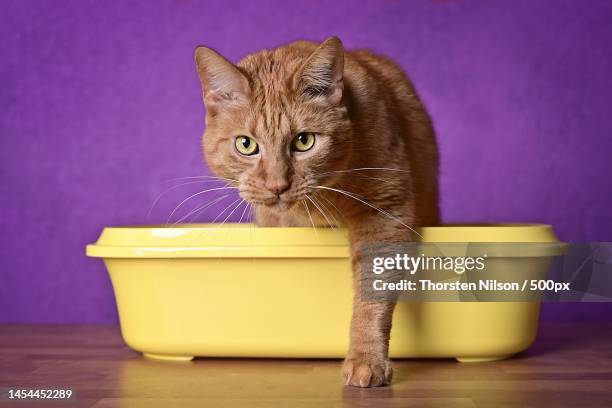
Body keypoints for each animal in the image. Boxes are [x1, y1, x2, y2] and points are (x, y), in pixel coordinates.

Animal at [194, 36, 438, 388]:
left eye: (304, 141)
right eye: (246, 145)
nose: (277, 185)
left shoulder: (386, 210)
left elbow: (373, 293)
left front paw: (367, 359)